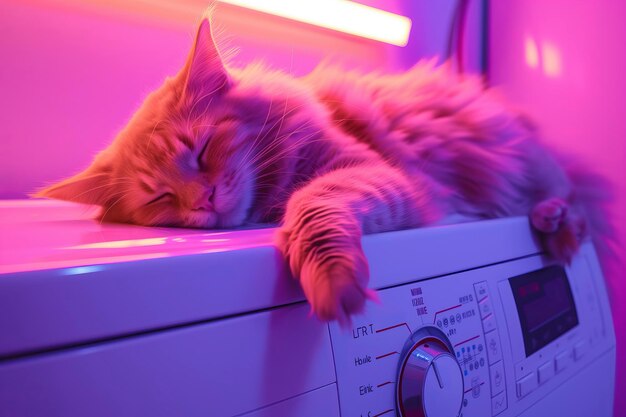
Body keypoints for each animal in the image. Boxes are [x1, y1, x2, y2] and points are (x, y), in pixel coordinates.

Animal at [36, 17, 608, 324]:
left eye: (201, 151)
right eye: (160, 198)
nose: (203, 200)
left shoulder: (372, 173)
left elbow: (313, 207)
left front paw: (333, 278)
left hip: (527, 163)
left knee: (572, 198)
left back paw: (557, 223)